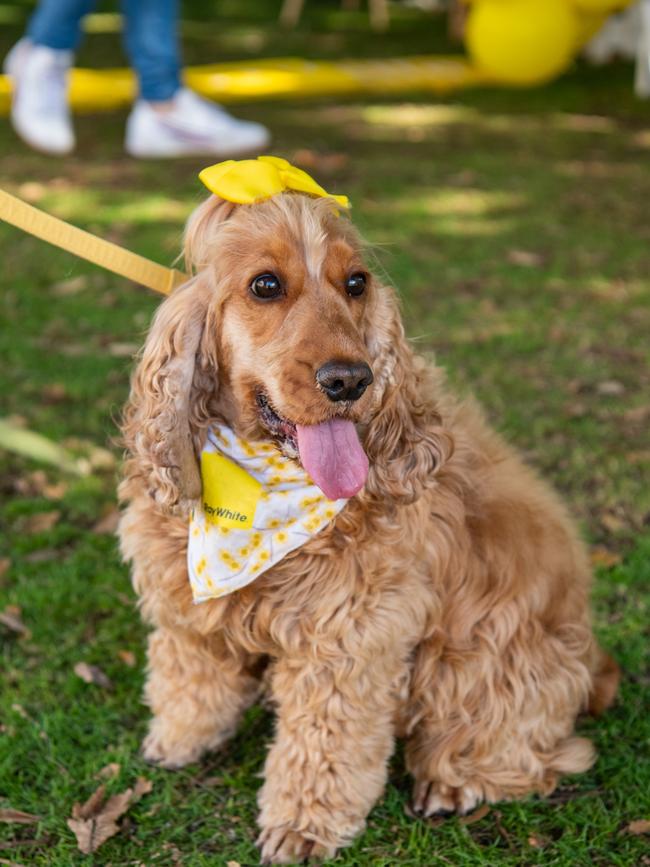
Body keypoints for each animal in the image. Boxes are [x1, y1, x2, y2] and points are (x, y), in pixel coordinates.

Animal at [117, 183, 616, 860]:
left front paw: (302, 825)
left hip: (484, 657)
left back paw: (453, 784)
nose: (351, 379)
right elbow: (193, 669)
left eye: (356, 283)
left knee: (531, 748)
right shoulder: (185, 597)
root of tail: (593, 667)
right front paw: (180, 737)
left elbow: (325, 741)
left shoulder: (351, 634)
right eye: (265, 285)